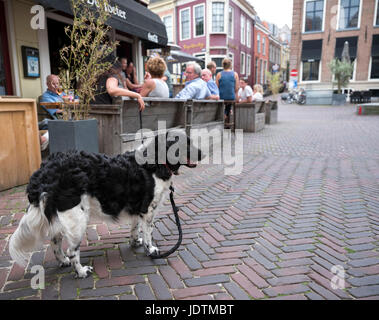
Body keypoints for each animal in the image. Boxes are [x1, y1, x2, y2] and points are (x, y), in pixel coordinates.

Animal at [8, 130, 203, 278]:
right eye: (184, 144)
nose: (203, 153)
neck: (155, 162)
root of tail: (46, 170)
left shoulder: (138, 208)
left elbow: (135, 228)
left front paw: (135, 242)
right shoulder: (148, 210)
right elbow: (148, 232)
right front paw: (152, 250)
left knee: (55, 242)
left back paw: (63, 262)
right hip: (77, 219)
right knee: (71, 250)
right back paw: (81, 271)